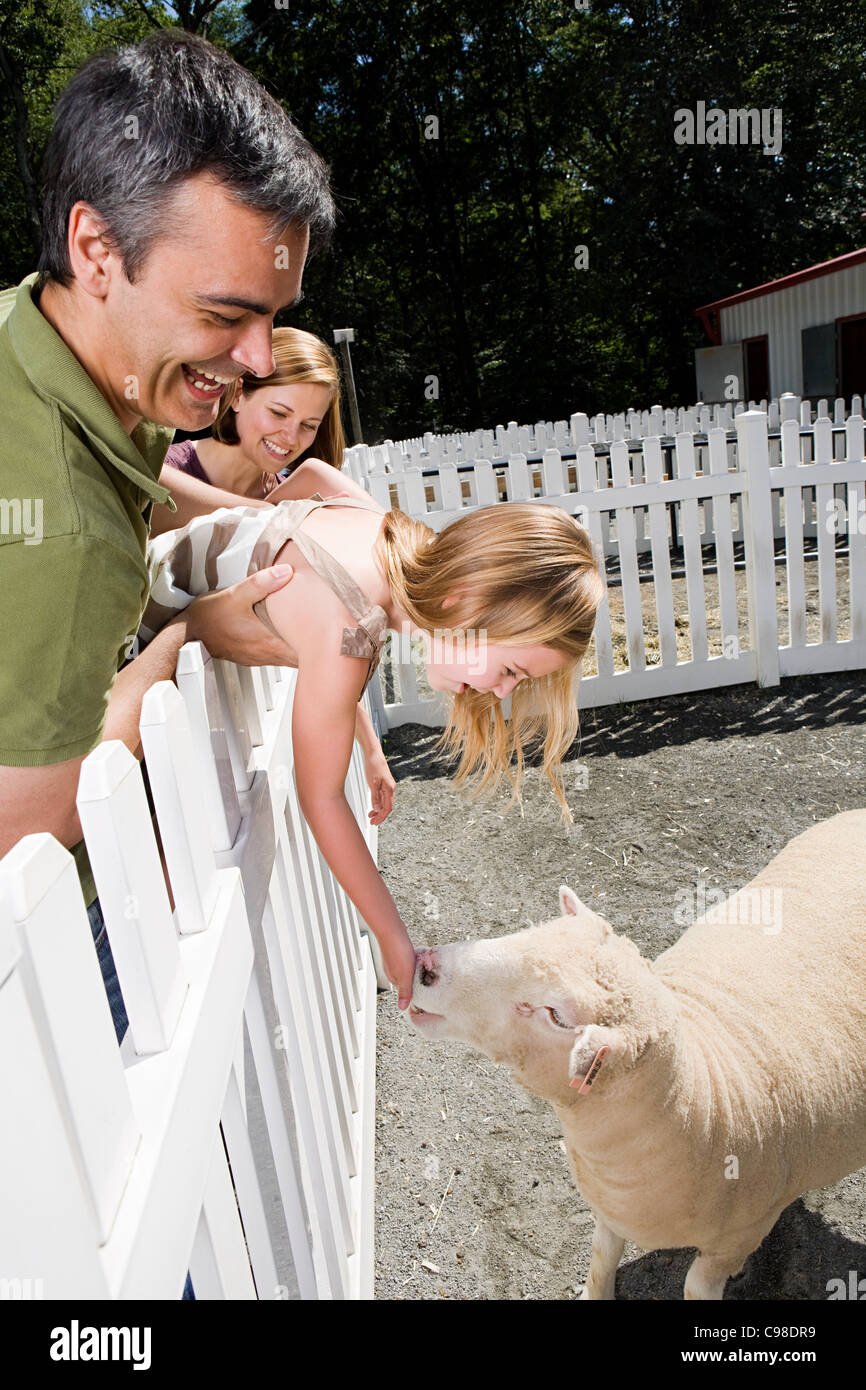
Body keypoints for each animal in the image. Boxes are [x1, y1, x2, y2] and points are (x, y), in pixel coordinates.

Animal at [408, 811, 866, 1295]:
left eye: (556, 1015)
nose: (426, 966)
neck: (703, 1103)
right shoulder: (612, 1208)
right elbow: (601, 1258)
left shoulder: (732, 1242)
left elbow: (695, 1285)